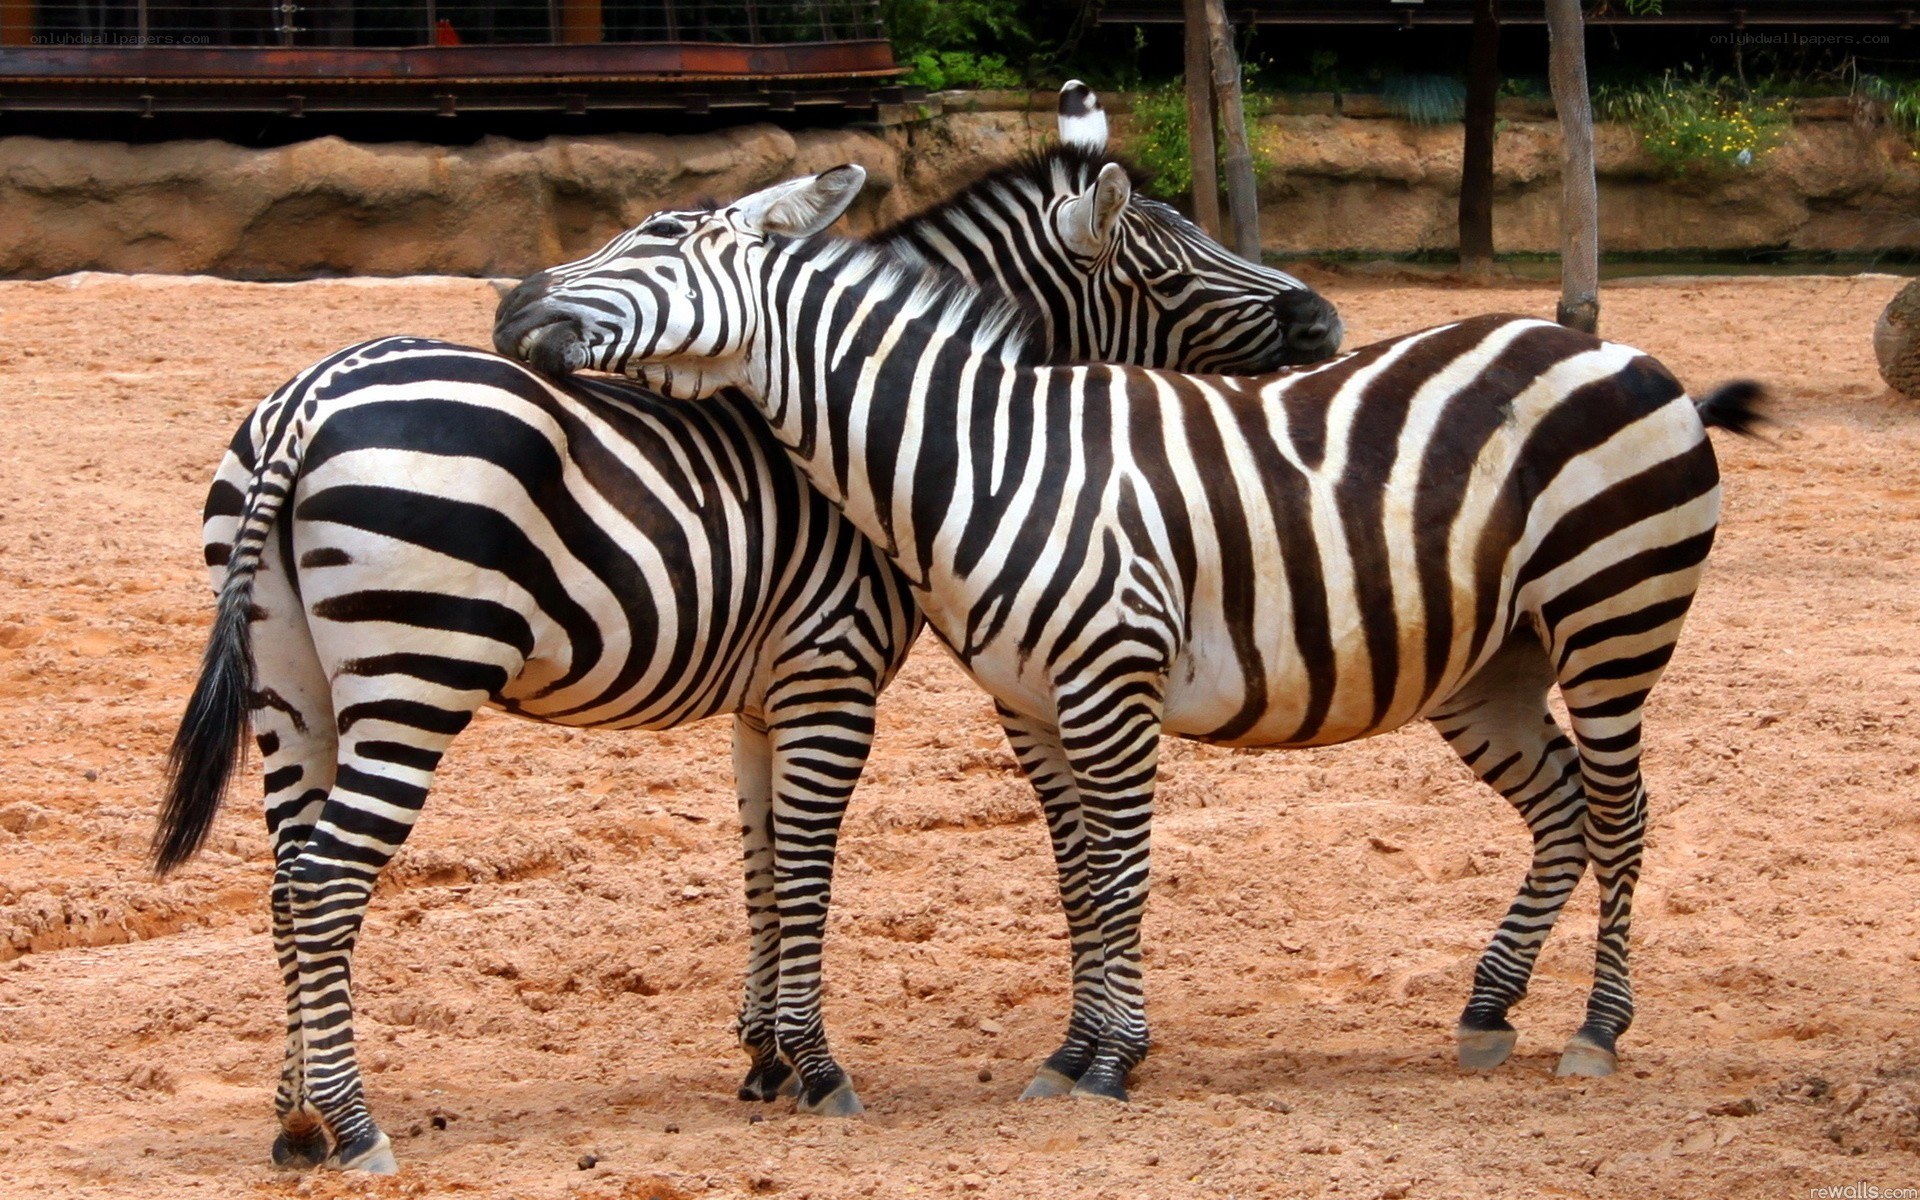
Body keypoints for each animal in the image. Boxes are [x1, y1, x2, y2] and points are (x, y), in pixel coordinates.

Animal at [151, 86, 1341, 1174]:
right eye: (1171, 264)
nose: (1327, 324)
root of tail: (312, 392)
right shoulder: (830, 672)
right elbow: (810, 864)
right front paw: (817, 1069)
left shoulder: (763, 700)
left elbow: (763, 861)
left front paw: (764, 1059)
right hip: (415, 672)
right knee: (326, 879)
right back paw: (355, 1129)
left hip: (290, 680)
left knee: (284, 878)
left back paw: (296, 1121)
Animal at [493, 165, 1766, 1106]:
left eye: (660, 239)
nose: (510, 310)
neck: (983, 456)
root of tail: (1616, 351)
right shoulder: (1030, 701)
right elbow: (1075, 876)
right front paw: (1074, 1051)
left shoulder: (1113, 681)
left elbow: (1119, 873)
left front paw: (1110, 1059)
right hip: (1489, 664)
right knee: (1562, 807)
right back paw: (1490, 1010)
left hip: (1613, 617)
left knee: (1622, 812)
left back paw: (1597, 1030)